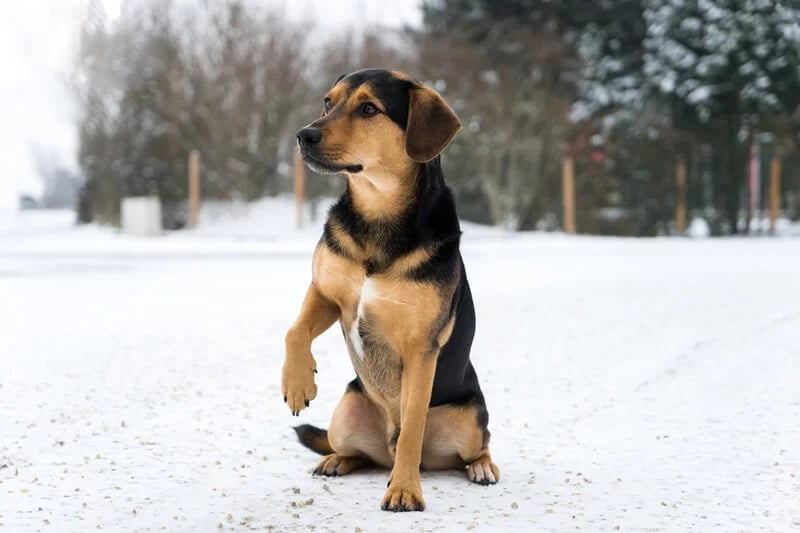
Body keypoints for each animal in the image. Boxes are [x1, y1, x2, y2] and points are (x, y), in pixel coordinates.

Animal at [278, 68, 496, 510]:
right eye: (327, 102)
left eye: (368, 109)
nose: (303, 135)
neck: (378, 216)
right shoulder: (327, 292)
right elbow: (295, 330)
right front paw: (297, 383)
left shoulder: (420, 348)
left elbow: (412, 427)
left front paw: (405, 490)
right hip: (345, 415)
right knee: (358, 453)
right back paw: (335, 459)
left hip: (470, 418)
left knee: (475, 445)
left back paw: (480, 468)